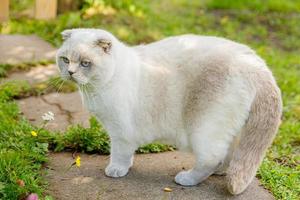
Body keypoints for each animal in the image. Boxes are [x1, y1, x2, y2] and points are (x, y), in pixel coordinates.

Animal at [55, 28, 282, 195]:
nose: (70, 73)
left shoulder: (120, 131)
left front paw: (116, 170)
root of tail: (258, 66)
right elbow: (126, 154)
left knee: (212, 157)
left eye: (85, 63)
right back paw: (220, 172)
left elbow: (119, 153)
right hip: (230, 129)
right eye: (65, 60)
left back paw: (187, 178)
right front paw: (126, 167)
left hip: (203, 130)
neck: (93, 90)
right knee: (228, 153)